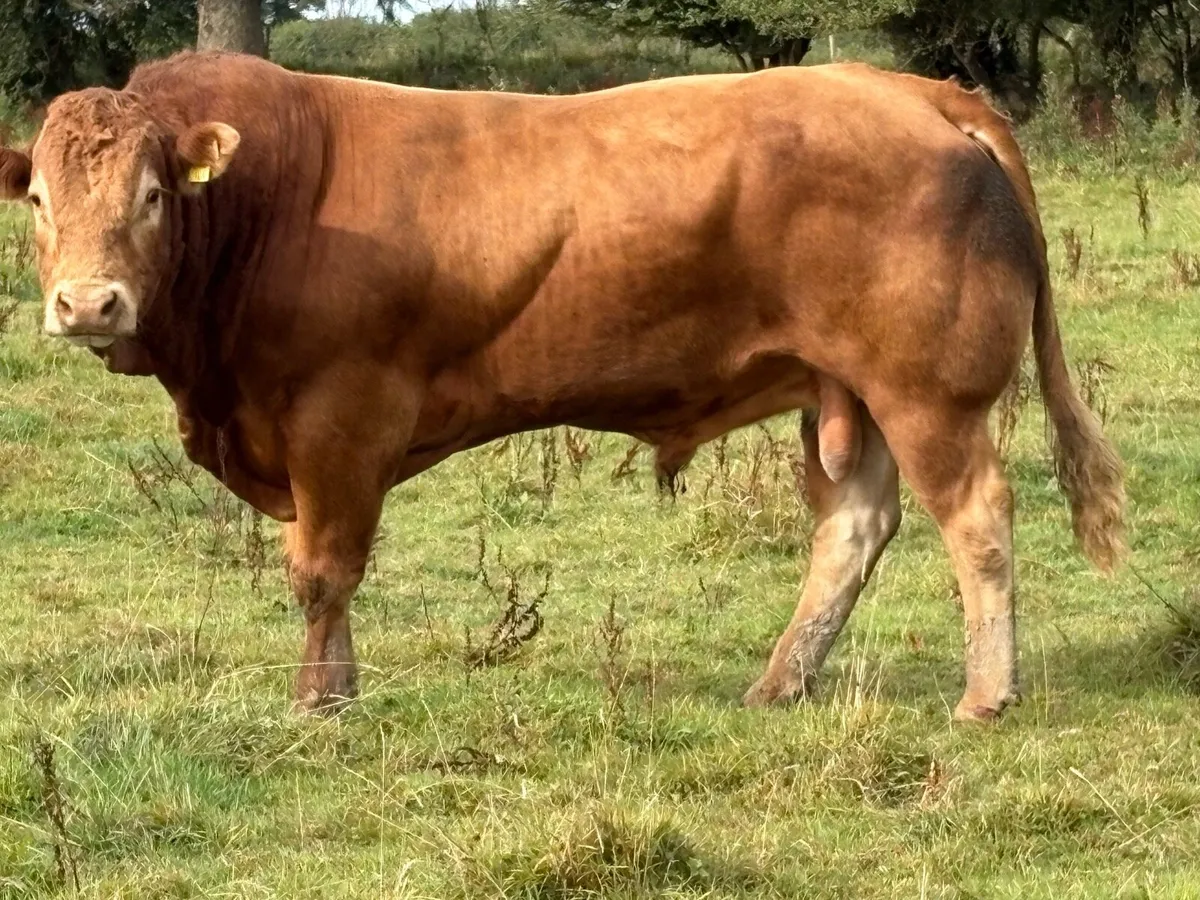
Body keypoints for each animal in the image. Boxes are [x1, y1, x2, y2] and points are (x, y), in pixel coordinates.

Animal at [0, 52, 1125, 722]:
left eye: (153, 196)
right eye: (42, 199)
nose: (88, 304)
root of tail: (908, 86)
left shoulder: (338, 419)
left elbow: (322, 572)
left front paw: (321, 700)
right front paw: (340, 686)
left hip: (928, 392)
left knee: (977, 518)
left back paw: (986, 695)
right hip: (848, 389)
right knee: (854, 526)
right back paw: (780, 680)